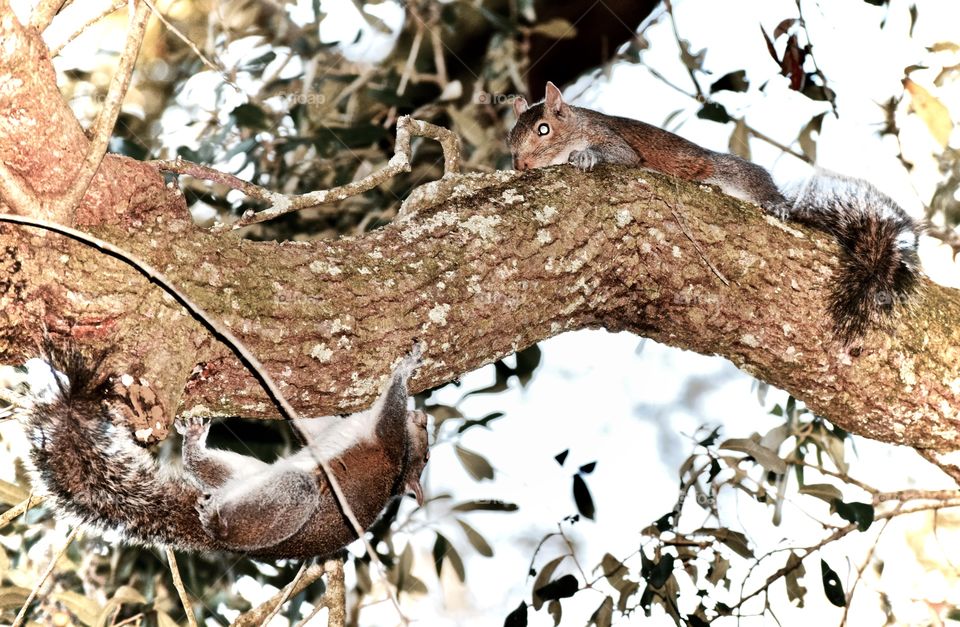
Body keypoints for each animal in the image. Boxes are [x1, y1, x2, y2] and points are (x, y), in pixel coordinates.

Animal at [15, 341, 430, 560]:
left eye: (424, 458)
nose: (425, 417)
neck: (402, 463)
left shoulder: (389, 441)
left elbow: (391, 405)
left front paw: (407, 367)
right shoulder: (329, 430)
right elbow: (312, 423)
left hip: (289, 497)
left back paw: (217, 522)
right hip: (245, 474)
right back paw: (196, 448)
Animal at [508, 81, 922, 343]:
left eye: (543, 129)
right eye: (509, 139)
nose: (520, 165)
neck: (577, 126)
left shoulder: (614, 142)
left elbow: (617, 155)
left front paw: (583, 157)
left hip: (731, 172)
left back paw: (774, 203)